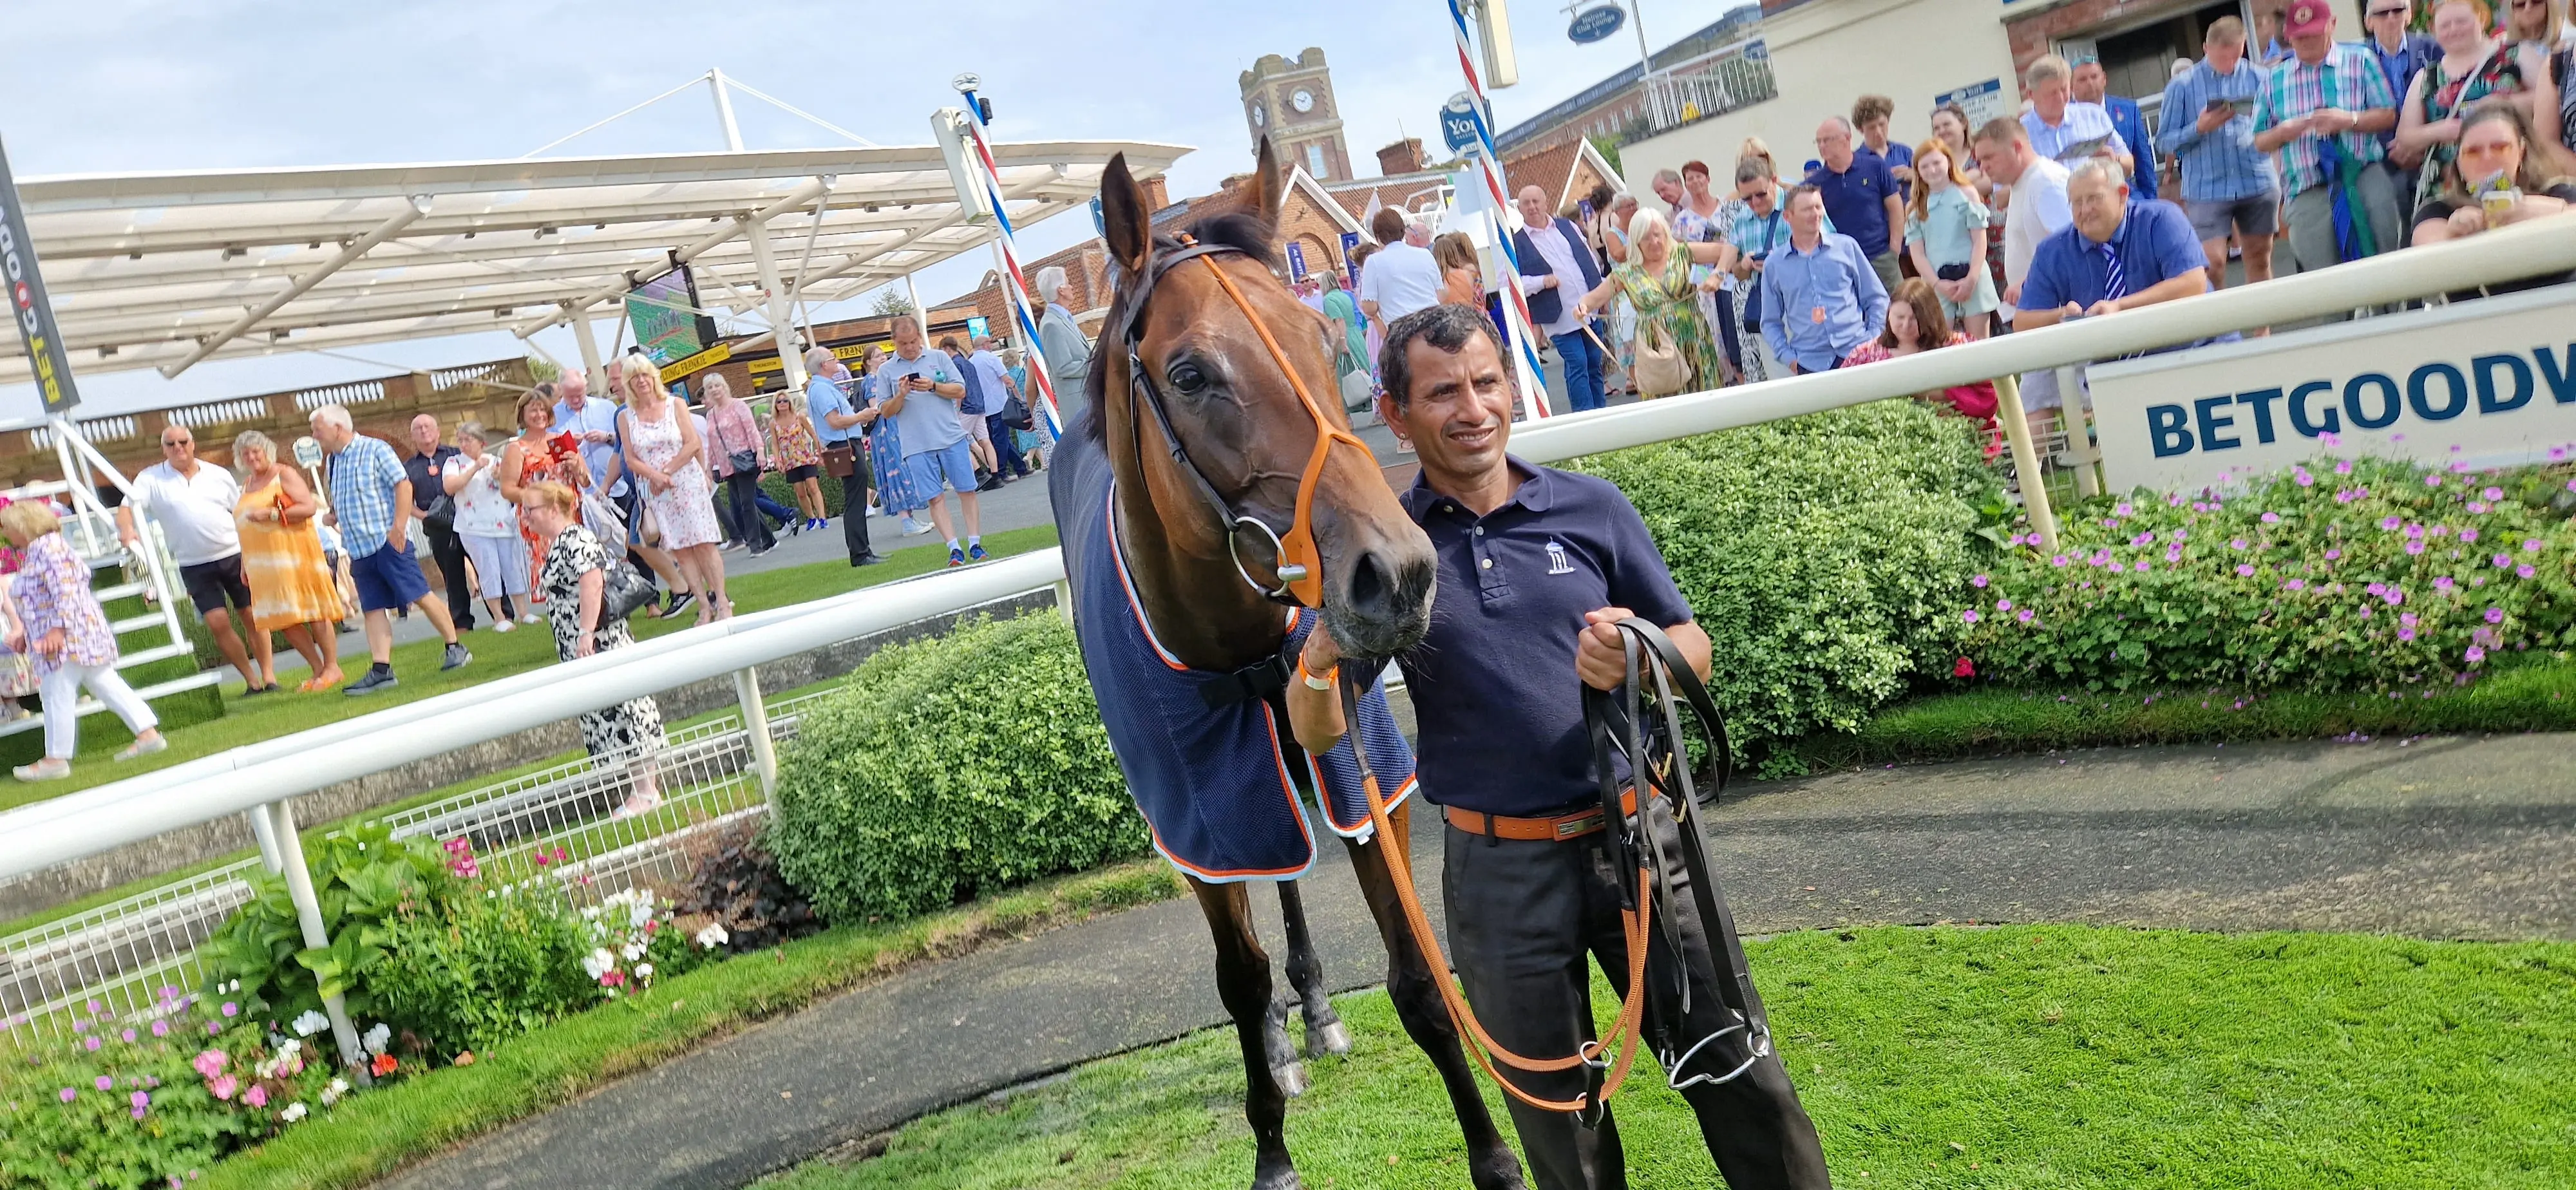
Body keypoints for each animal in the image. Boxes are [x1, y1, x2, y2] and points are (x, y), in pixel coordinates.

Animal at [1051, 140, 1525, 1190]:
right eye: (1190, 372)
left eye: (1316, 330)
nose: (1398, 571)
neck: (1236, 648)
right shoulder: (1202, 807)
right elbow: (1237, 975)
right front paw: (1270, 1145)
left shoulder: (1356, 765)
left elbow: (1416, 979)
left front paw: (1493, 1155)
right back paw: (1279, 1033)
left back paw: (1312, 1013)